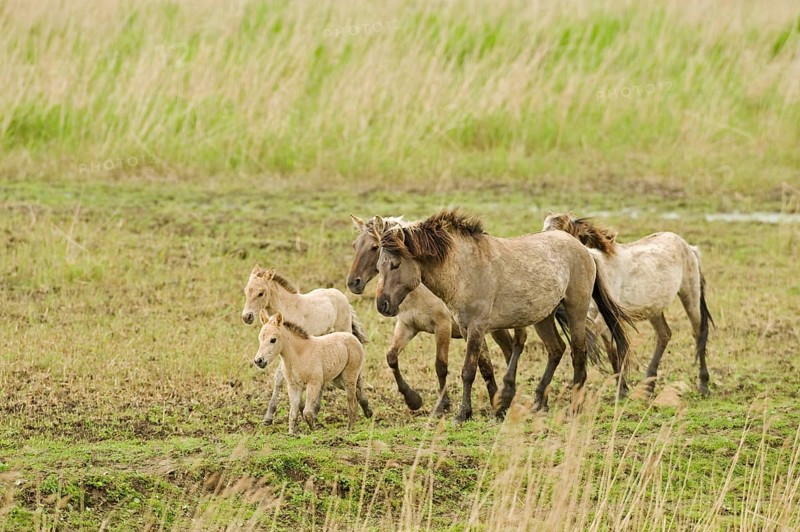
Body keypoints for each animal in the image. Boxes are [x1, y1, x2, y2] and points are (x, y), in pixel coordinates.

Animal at [242, 265, 367, 424]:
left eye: (261, 293)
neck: (287, 308)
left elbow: (279, 376)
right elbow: (281, 379)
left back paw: (365, 405)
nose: (247, 317)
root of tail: (342, 296)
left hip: (345, 331)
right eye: (246, 291)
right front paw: (271, 416)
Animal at [347, 214, 526, 415]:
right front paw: (413, 400)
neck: (419, 292)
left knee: (511, 349)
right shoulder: (407, 326)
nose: (353, 283)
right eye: (355, 245)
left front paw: (442, 405)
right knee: (507, 350)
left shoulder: (443, 328)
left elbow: (441, 366)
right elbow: (391, 357)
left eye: (374, 247)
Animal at [375, 209, 634, 422]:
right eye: (379, 266)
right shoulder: (467, 328)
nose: (382, 305)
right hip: (544, 317)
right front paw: (493, 408)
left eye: (395, 264)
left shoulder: (476, 327)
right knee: (556, 349)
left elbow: (468, 371)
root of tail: (581, 247)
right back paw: (538, 403)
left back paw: (573, 408)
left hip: (575, 310)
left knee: (578, 353)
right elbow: (483, 367)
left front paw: (462, 414)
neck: (465, 268)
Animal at [542, 212, 714, 395]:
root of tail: (689, 247)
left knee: (698, 333)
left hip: (690, 295)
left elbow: (613, 347)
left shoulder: (605, 318)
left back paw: (703, 385)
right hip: (654, 308)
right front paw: (623, 389)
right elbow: (613, 352)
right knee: (664, 334)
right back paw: (648, 385)